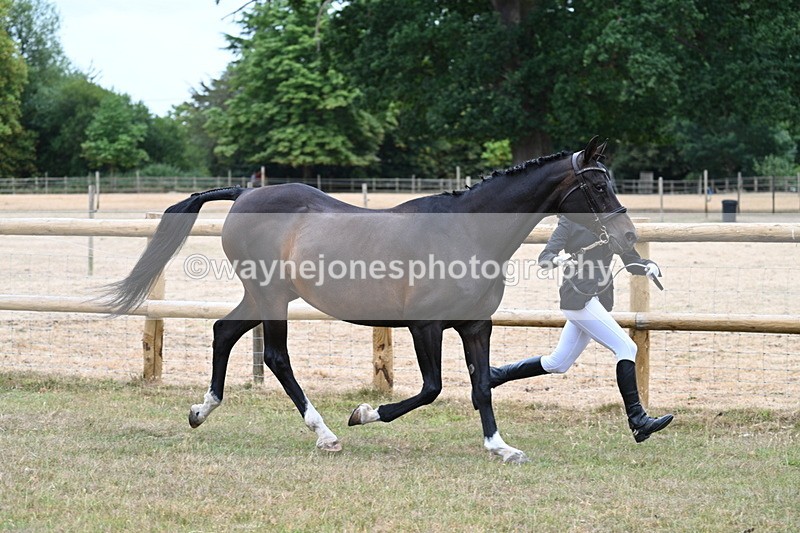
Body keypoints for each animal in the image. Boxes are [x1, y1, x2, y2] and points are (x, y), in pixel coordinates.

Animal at [106, 137, 636, 463]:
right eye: (597, 184)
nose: (628, 235)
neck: (465, 231)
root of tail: (244, 195)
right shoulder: (425, 326)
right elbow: (431, 389)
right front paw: (364, 414)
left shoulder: (475, 325)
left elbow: (482, 385)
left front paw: (500, 447)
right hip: (271, 297)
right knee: (276, 356)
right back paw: (325, 433)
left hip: (262, 296)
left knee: (224, 332)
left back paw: (202, 410)